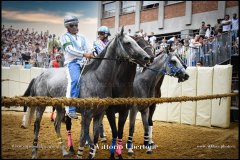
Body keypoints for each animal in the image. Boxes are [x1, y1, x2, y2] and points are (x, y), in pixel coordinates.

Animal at [22, 27, 150, 159]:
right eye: (128, 43)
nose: (147, 58)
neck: (98, 78)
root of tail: (39, 76)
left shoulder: (99, 114)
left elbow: (95, 137)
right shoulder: (87, 115)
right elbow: (83, 137)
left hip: (60, 107)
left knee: (57, 125)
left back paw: (64, 151)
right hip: (41, 106)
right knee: (37, 126)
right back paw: (34, 153)